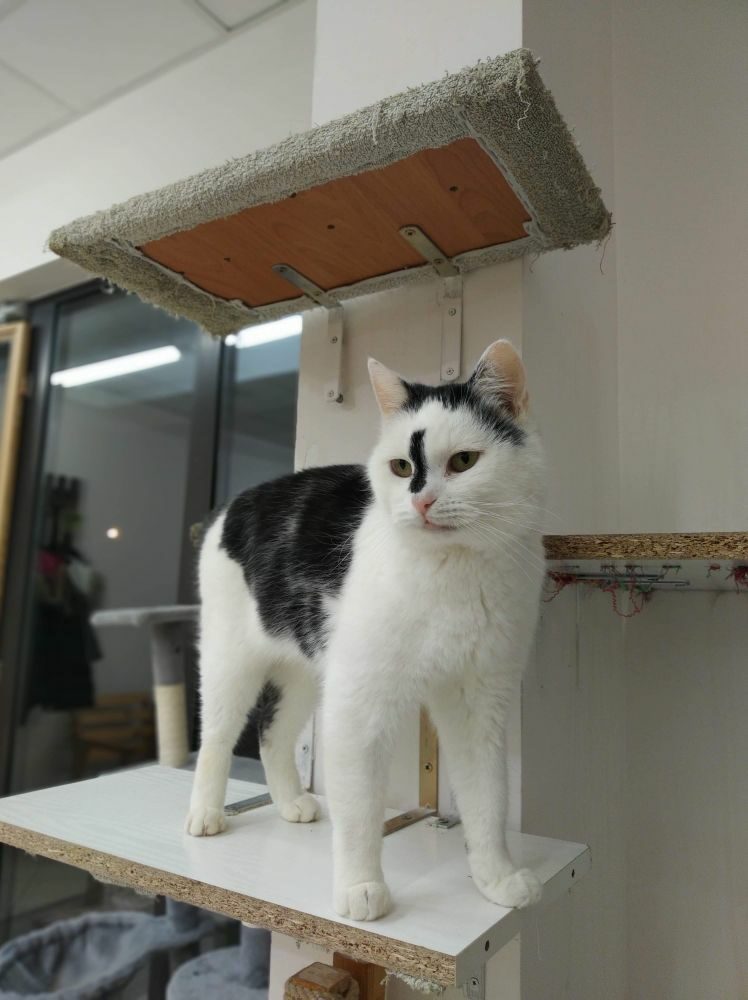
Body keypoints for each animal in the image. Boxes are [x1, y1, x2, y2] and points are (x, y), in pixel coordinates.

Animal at [186, 338, 546, 921]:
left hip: (305, 670)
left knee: (271, 731)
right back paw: (204, 815)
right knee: (217, 735)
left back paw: (290, 802)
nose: (420, 502)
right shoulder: (360, 702)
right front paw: (360, 887)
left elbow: (488, 797)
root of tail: (233, 503)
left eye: (463, 461)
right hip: (228, 661)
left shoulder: (481, 701)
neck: (452, 571)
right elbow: (359, 808)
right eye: (401, 467)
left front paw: (497, 878)